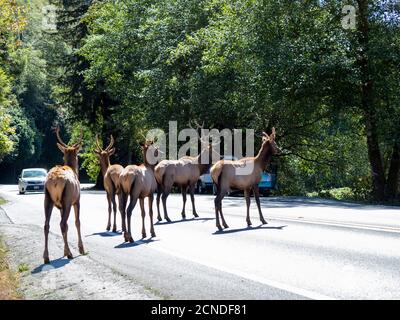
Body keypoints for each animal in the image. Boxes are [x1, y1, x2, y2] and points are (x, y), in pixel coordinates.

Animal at [43, 126, 84, 264]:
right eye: (78, 155)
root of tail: (55, 181)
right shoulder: (77, 200)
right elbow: (77, 222)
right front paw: (81, 249)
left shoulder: (60, 206)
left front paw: (65, 251)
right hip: (67, 200)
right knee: (63, 224)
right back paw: (70, 254)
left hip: (47, 199)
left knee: (47, 225)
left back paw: (46, 257)